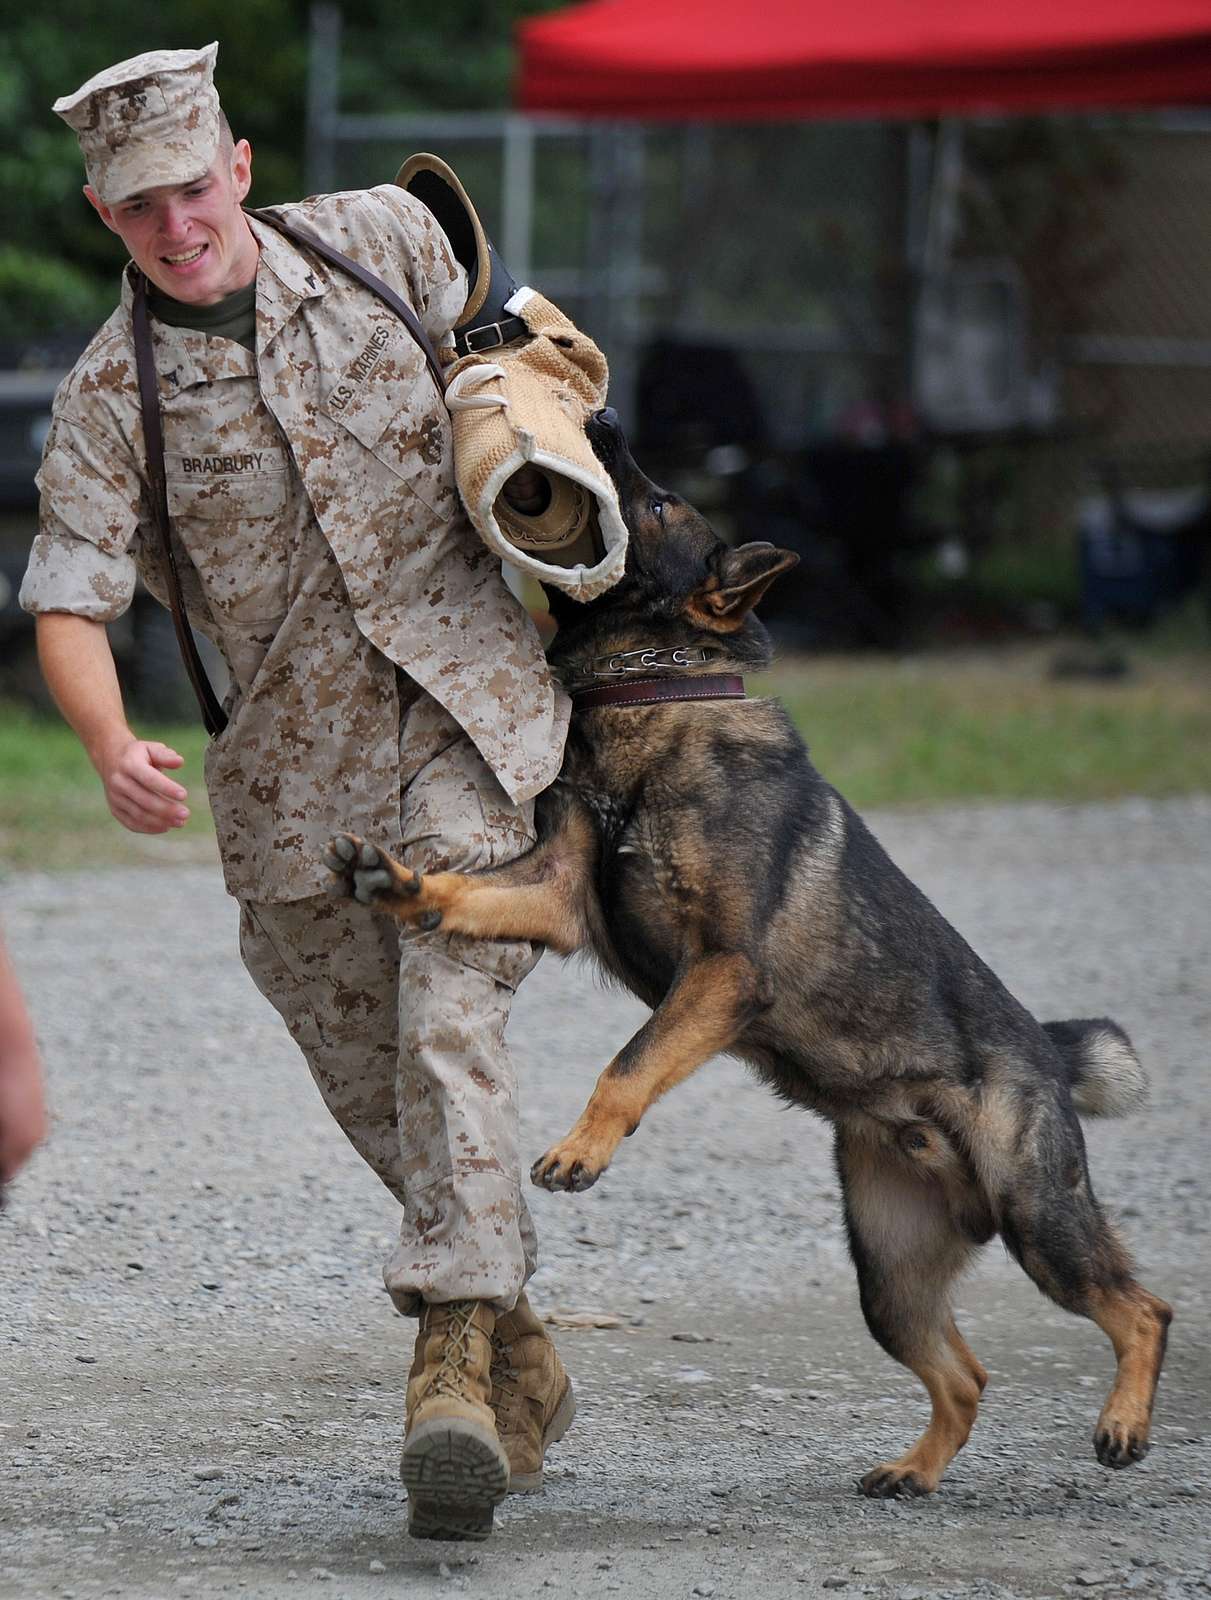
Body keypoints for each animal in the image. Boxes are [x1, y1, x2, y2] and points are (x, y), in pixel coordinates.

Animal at [323, 403, 1171, 1497]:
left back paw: (1121, 1422)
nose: (604, 414)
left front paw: (581, 1148)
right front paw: (399, 883)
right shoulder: (554, 898)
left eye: (660, 505)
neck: (658, 699)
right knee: (966, 1374)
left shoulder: (722, 971)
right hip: (888, 1274)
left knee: (1140, 1307)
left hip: (1037, 1221)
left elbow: (627, 1064)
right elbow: (468, 891)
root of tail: (1046, 1051)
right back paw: (913, 1470)